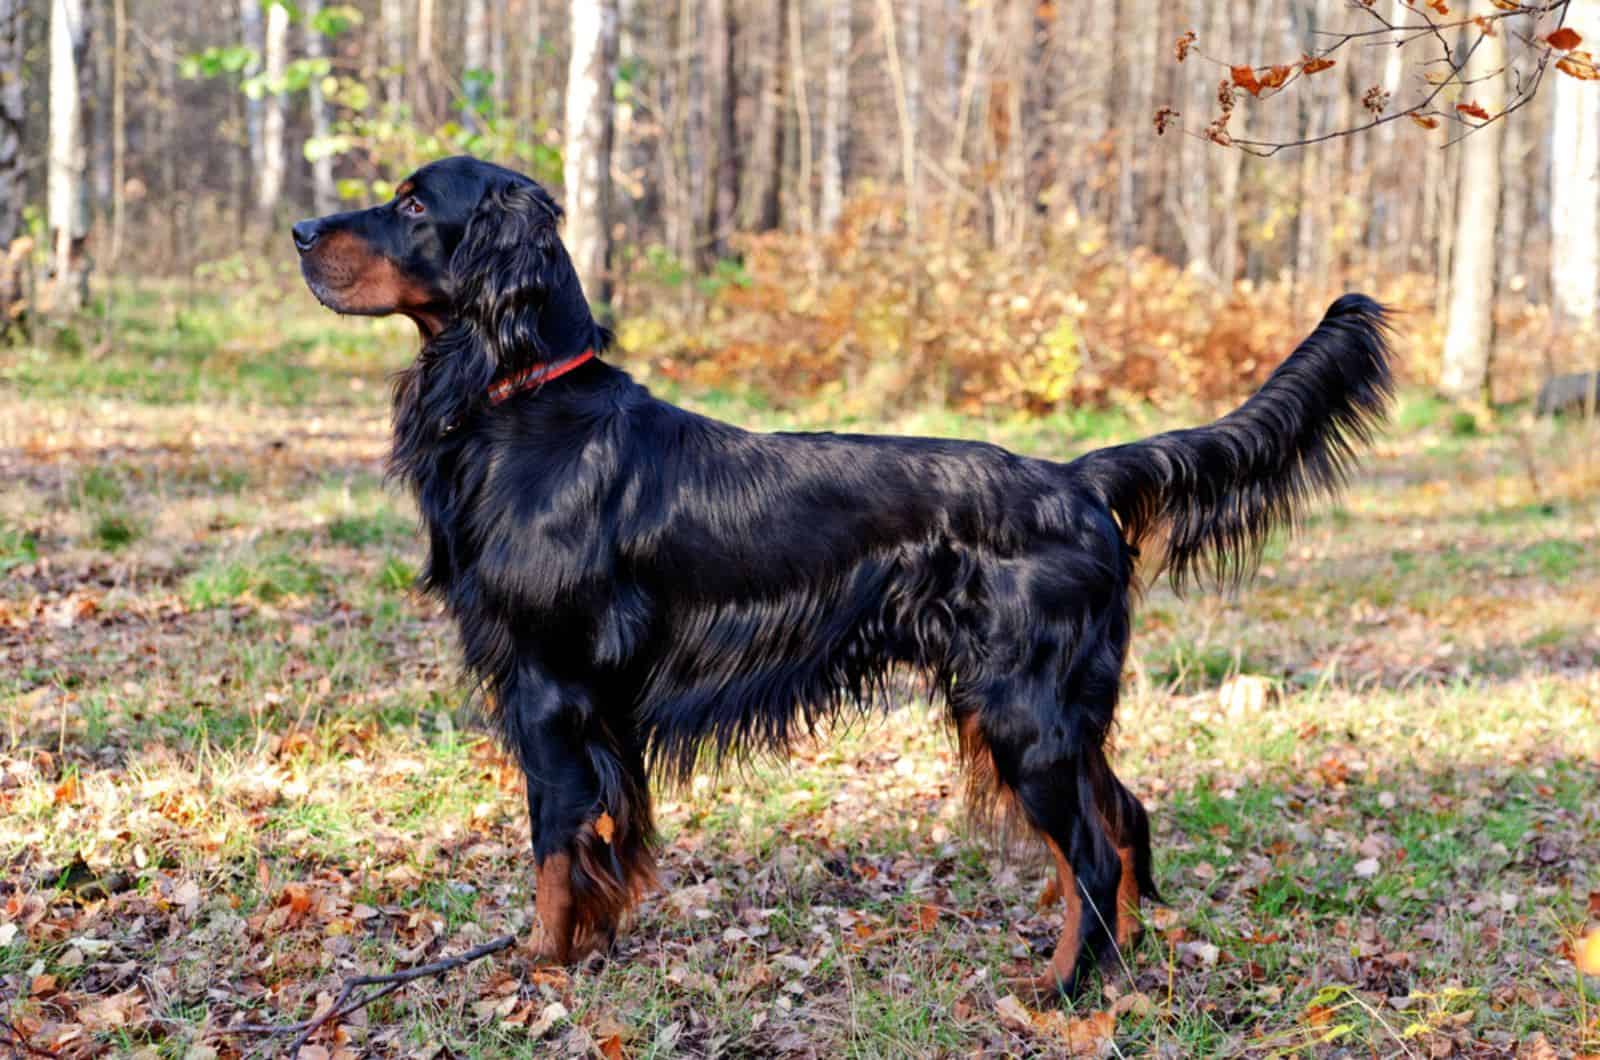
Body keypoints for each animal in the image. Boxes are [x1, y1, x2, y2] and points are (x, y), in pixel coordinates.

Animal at [294, 156, 1395, 999]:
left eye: (413, 205)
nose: (301, 228)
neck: (523, 400)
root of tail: (1076, 477)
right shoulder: (590, 704)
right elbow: (602, 838)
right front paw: (589, 949)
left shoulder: (551, 685)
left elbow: (555, 842)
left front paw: (543, 965)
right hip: (1048, 708)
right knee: (1122, 821)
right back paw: (1112, 972)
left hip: (1021, 706)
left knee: (1089, 844)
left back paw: (1062, 989)